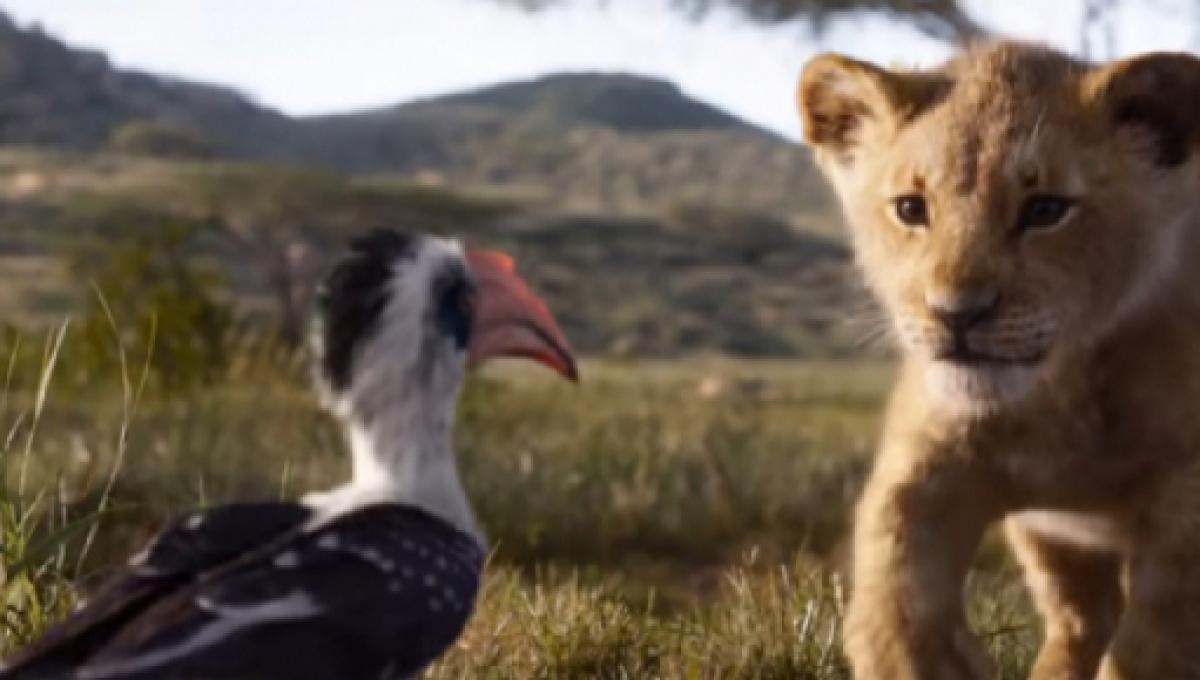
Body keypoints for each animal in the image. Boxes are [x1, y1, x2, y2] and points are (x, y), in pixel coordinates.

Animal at [799, 41, 1200, 680]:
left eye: (1045, 210)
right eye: (911, 208)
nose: (956, 314)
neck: (1058, 396)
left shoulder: (1186, 498)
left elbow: (1155, 643)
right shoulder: (928, 463)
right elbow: (895, 593)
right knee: (1081, 617)